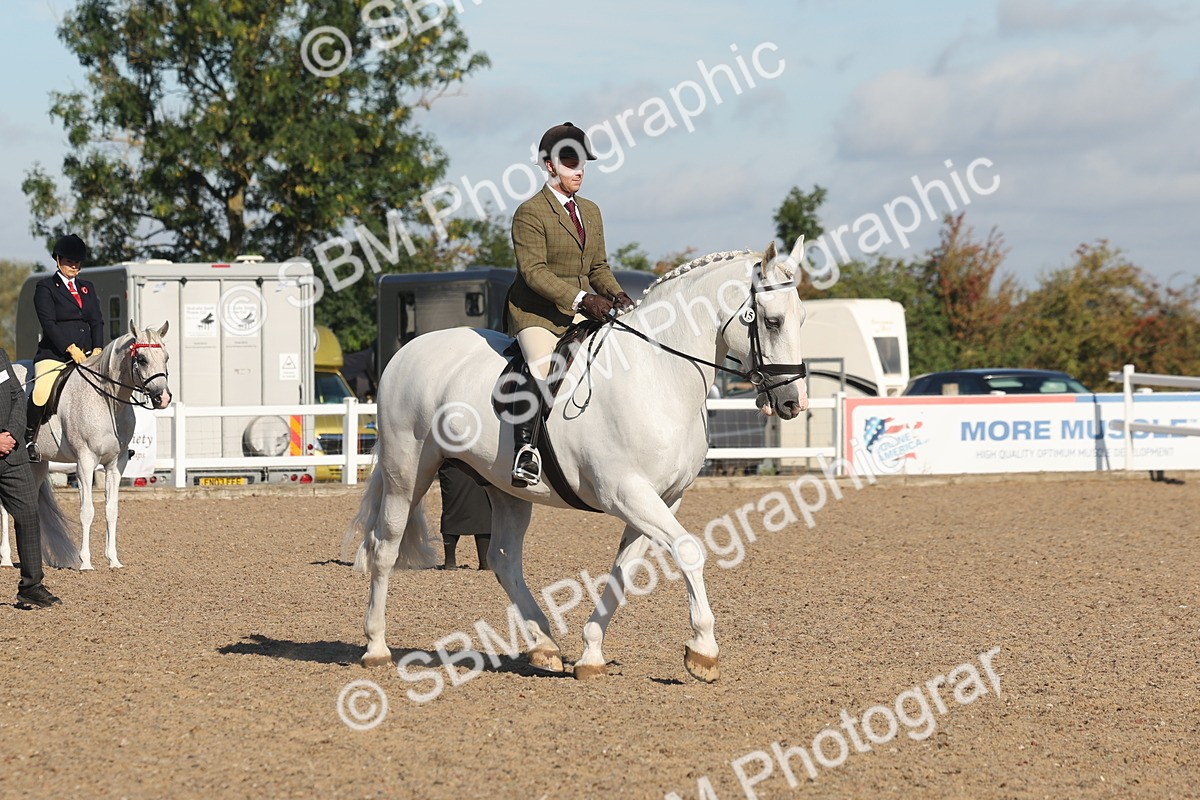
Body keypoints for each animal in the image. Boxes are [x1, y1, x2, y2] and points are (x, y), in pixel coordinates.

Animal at [3, 322, 173, 571]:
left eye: (166, 357)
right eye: (141, 359)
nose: (163, 398)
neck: (106, 401)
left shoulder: (116, 464)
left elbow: (111, 510)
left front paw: (113, 560)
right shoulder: (85, 461)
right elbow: (87, 511)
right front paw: (85, 562)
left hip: (38, 464)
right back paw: (5, 558)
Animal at [344, 240, 809, 682]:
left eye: (802, 318)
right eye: (772, 321)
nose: (793, 402)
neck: (657, 374)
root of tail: (406, 353)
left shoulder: (662, 499)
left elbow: (624, 572)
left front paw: (591, 654)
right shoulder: (626, 493)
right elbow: (688, 550)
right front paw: (703, 652)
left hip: (507, 490)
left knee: (503, 559)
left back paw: (545, 646)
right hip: (407, 473)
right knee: (385, 547)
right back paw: (376, 647)